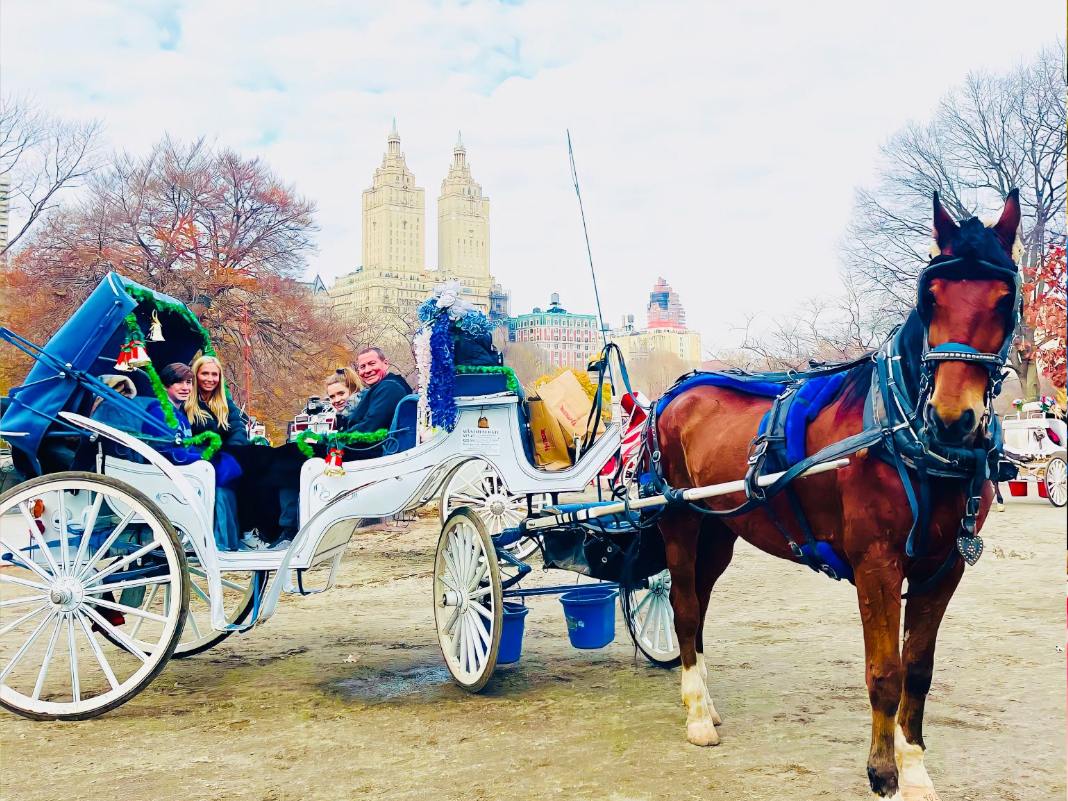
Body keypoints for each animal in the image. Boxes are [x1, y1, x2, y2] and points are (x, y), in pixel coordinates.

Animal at [653, 191, 1021, 798]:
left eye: (1005, 299)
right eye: (931, 297)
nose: (951, 418)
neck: (907, 436)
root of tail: (677, 389)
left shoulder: (944, 567)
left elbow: (918, 671)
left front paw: (915, 769)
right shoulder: (877, 563)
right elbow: (885, 673)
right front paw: (882, 771)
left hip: (720, 528)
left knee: (700, 603)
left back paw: (703, 696)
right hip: (678, 523)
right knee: (683, 608)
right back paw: (698, 715)